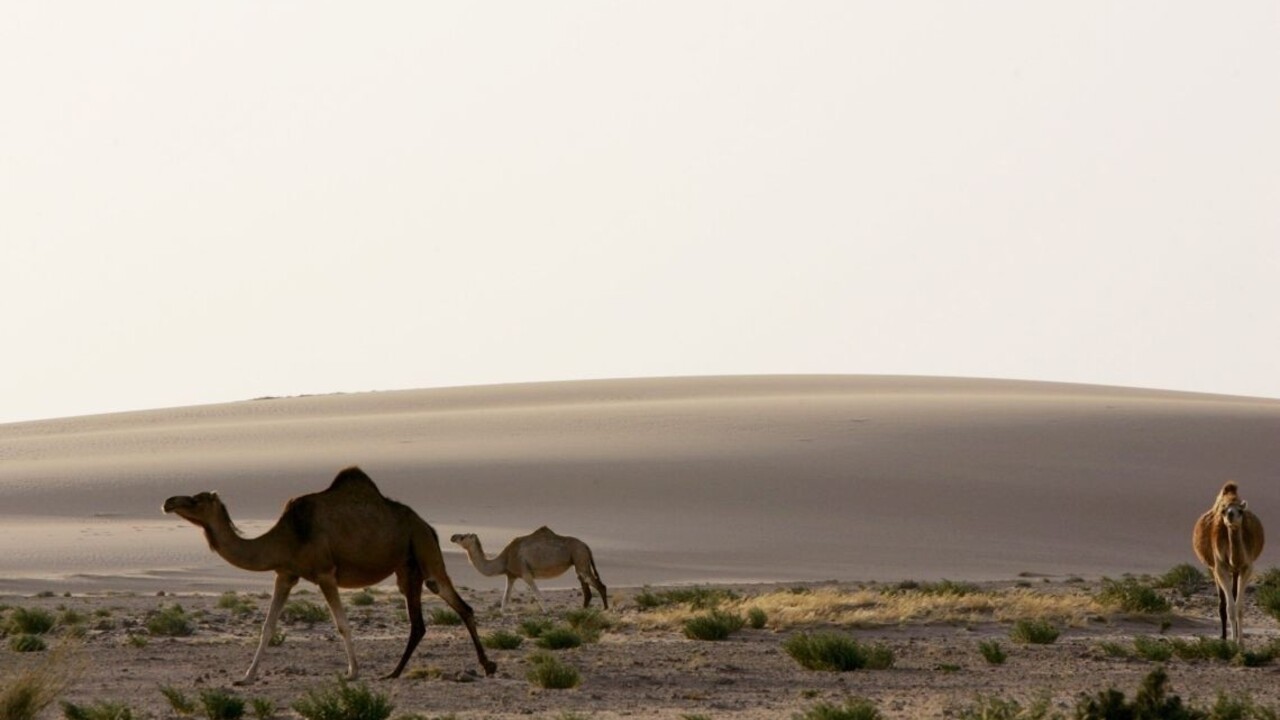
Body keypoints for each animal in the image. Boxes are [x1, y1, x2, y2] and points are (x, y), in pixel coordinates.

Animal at [161, 461, 499, 681]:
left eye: (197, 499)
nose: (168, 501)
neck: (287, 535)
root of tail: (427, 525)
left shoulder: (324, 573)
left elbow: (342, 624)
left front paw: (352, 673)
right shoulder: (285, 574)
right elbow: (267, 626)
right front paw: (246, 676)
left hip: (423, 549)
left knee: (454, 601)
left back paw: (486, 665)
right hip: (407, 568)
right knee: (420, 622)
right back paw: (395, 672)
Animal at [450, 520, 609, 609]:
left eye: (463, 537)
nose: (452, 536)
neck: (504, 558)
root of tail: (586, 546)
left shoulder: (525, 573)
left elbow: (539, 596)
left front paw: (547, 612)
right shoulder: (511, 575)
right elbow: (504, 601)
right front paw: (502, 614)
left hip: (579, 557)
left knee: (599, 585)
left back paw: (605, 610)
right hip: (579, 561)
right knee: (586, 588)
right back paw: (585, 610)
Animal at [1192, 481, 1264, 638]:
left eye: (1241, 511)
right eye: (1224, 511)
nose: (1231, 514)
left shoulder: (1247, 567)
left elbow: (1239, 607)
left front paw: (1240, 641)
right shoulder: (1220, 568)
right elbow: (1229, 608)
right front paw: (1232, 640)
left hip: (1235, 571)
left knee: (1234, 595)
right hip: (1213, 569)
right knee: (1222, 603)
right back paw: (1224, 636)